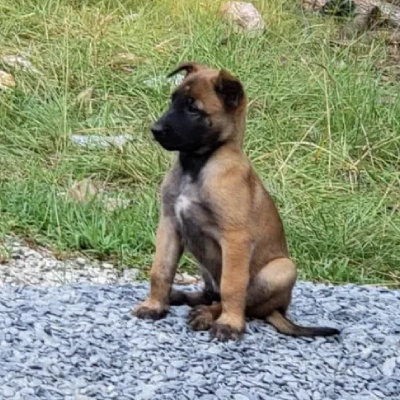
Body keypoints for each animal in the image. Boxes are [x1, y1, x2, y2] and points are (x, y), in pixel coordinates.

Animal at [133, 61, 340, 342]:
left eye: (193, 108)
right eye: (172, 100)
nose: (155, 130)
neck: (197, 166)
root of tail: (279, 310)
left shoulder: (235, 239)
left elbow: (233, 286)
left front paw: (229, 324)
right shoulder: (169, 225)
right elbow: (161, 270)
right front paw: (154, 305)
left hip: (282, 268)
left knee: (242, 303)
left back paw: (207, 315)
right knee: (212, 294)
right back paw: (182, 296)